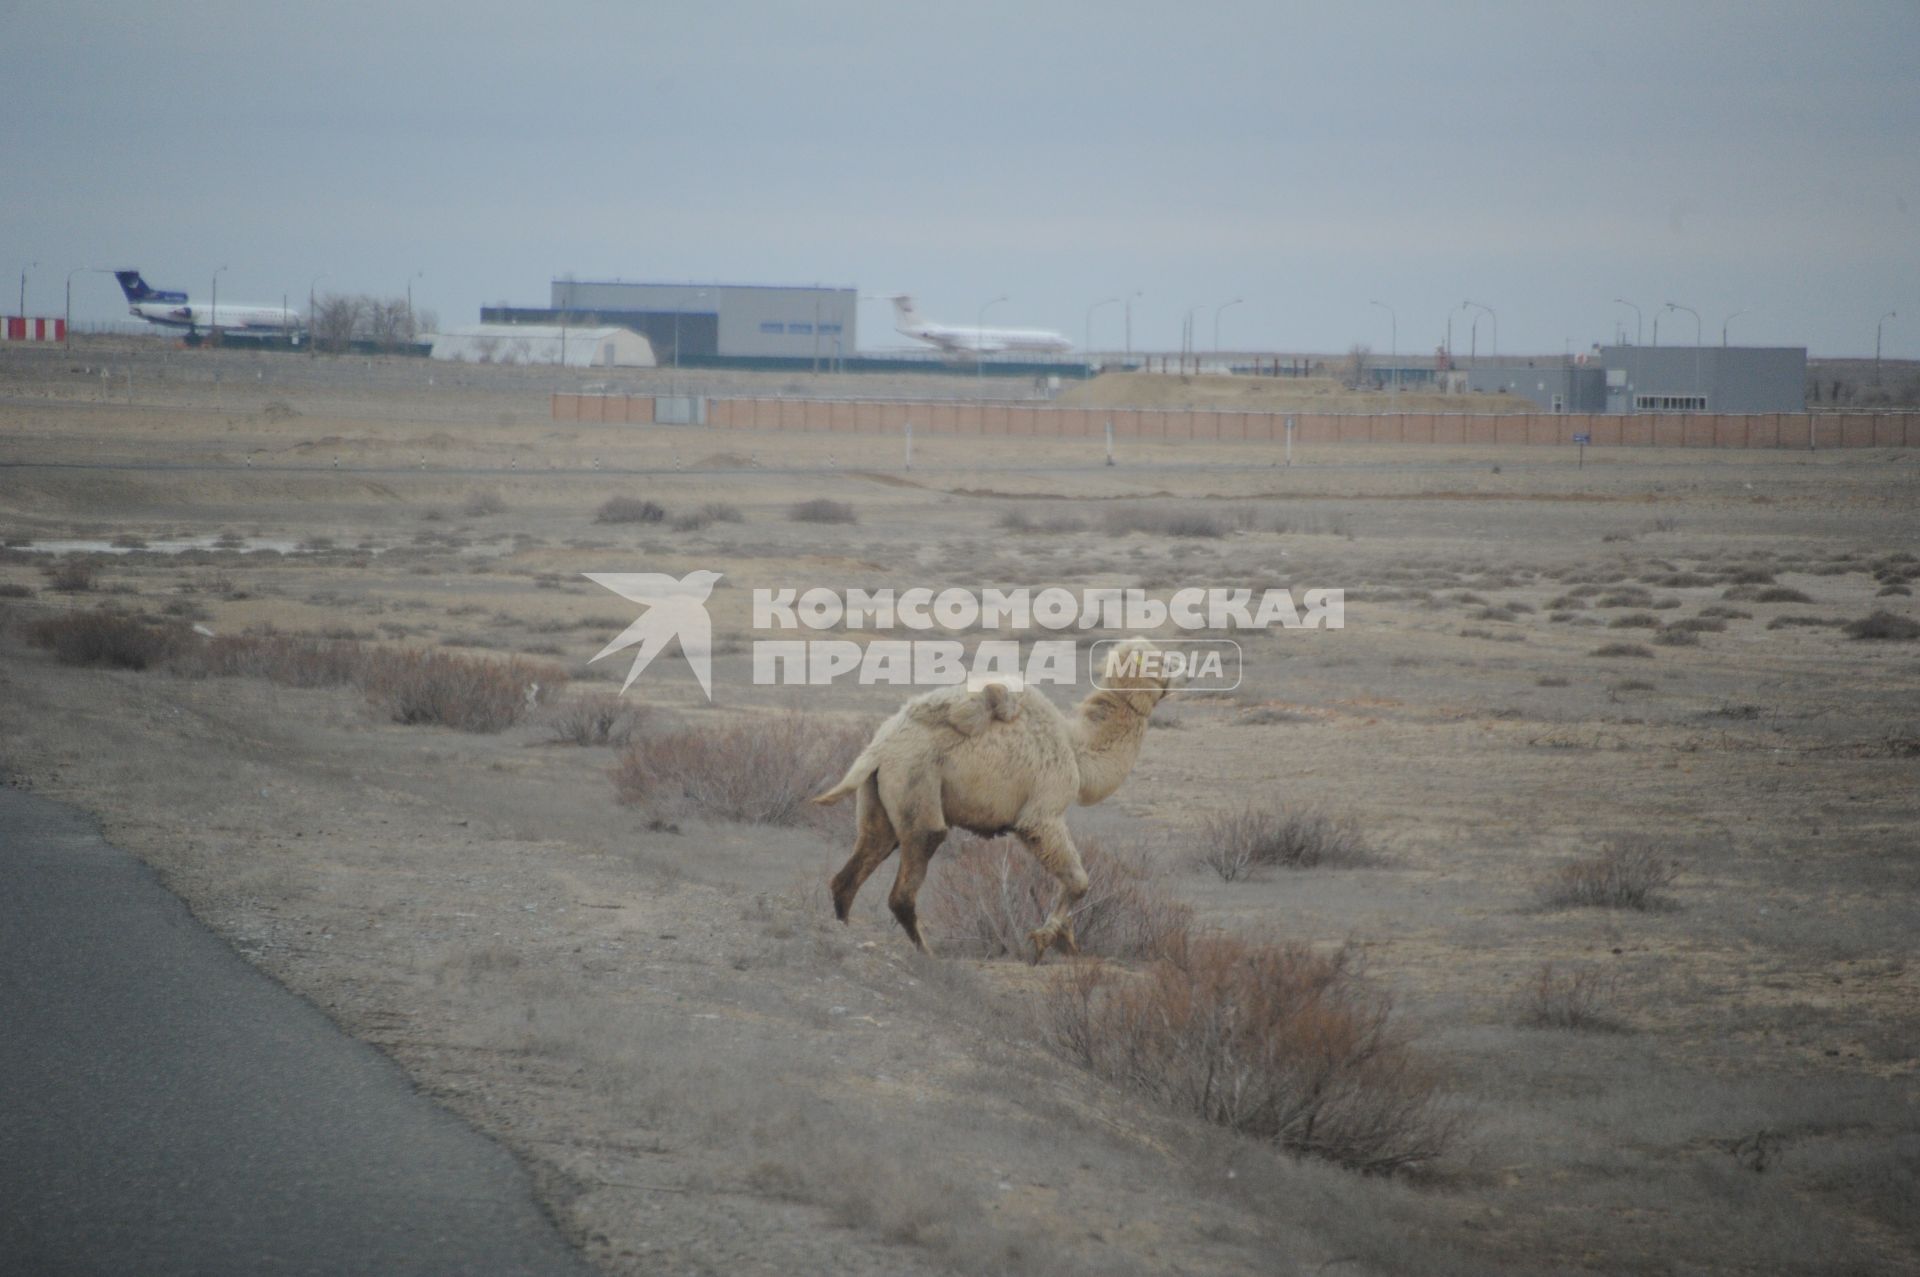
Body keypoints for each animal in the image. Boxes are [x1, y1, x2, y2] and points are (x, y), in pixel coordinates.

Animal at [806, 633, 1167, 960]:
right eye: (1159, 661)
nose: (1178, 673)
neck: (1077, 750)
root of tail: (878, 749)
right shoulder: (1043, 813)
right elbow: (1078, 880)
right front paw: (1043, 940)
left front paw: (1065, 940)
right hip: (916, 783)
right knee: (912, 871)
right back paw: (928, 954)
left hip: (877, 796)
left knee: (856, 866)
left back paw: (845, 931)